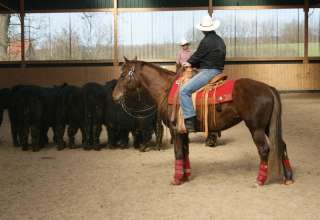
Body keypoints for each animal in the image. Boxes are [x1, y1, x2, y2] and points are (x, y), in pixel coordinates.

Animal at [112, 58, 292, 186]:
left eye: (123, 75)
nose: (114, 96)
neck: (166, 89)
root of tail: (268, 88)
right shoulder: (182, 131)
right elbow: (185, 152)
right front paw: (186, 175)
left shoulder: (175, 130)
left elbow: (178, 153)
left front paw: (176, 179)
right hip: (267, 127)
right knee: (282, 145)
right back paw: (288, 177)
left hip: (256, 129)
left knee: (264, 150)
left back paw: (260, 180)